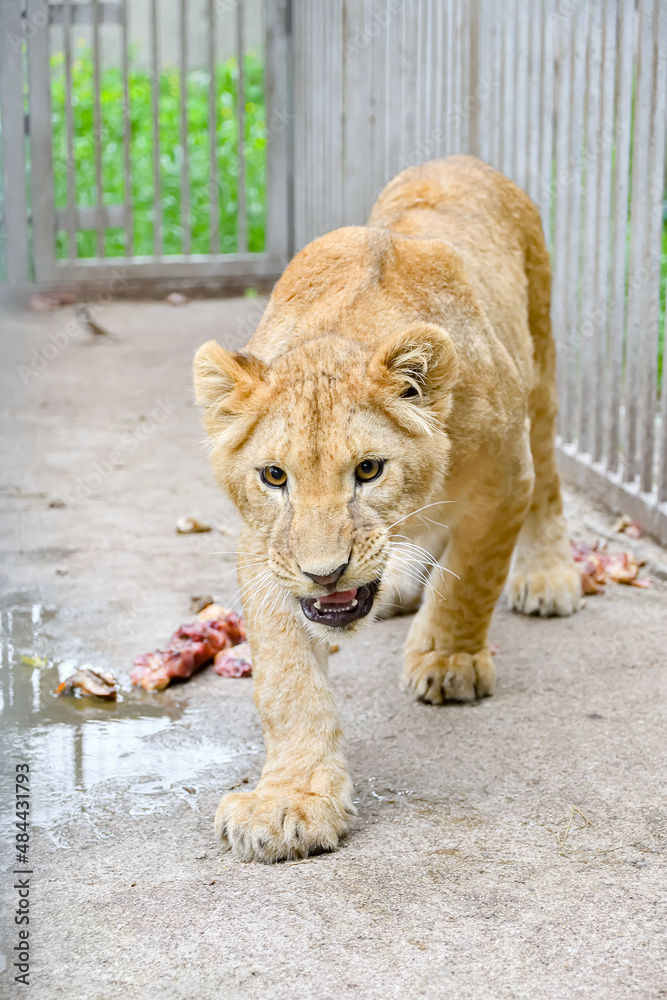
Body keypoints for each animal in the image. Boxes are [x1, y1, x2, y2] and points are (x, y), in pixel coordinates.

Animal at [193, 155, 581, 863]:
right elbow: (286, 681)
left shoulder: (507, 479)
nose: (325, 575)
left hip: (540, 369)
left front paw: (449, 662)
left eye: (369, 470)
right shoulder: (265, 546)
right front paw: (290, 802)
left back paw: (545, 576)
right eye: (274, 476)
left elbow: (473, 582)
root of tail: (459, 159)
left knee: (549, 480)